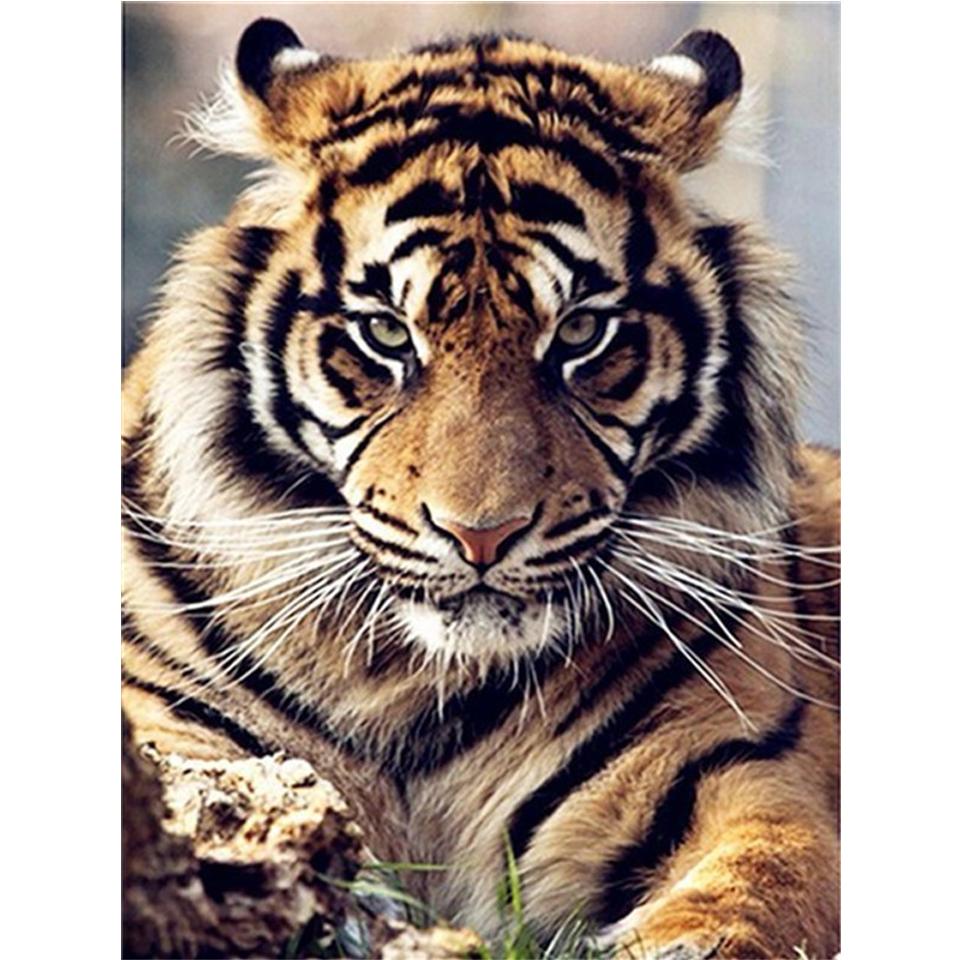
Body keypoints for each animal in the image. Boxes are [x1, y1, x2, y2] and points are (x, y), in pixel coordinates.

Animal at [121, 18, 840, 960]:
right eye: (387, 333)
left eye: (581, 332)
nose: (482, 536)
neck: (412, 683)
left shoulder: (740, 770)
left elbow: (759, 886)